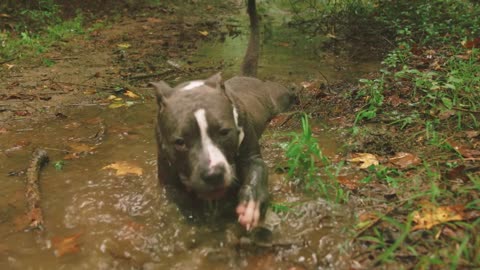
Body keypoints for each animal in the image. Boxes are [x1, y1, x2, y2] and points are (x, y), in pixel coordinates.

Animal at [151, 73, 292, 229]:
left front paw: (251, 205)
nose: (213, 175)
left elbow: (257, 173)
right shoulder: (168, 181)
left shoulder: (252, 157)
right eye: (180, 142)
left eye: (224, 132)